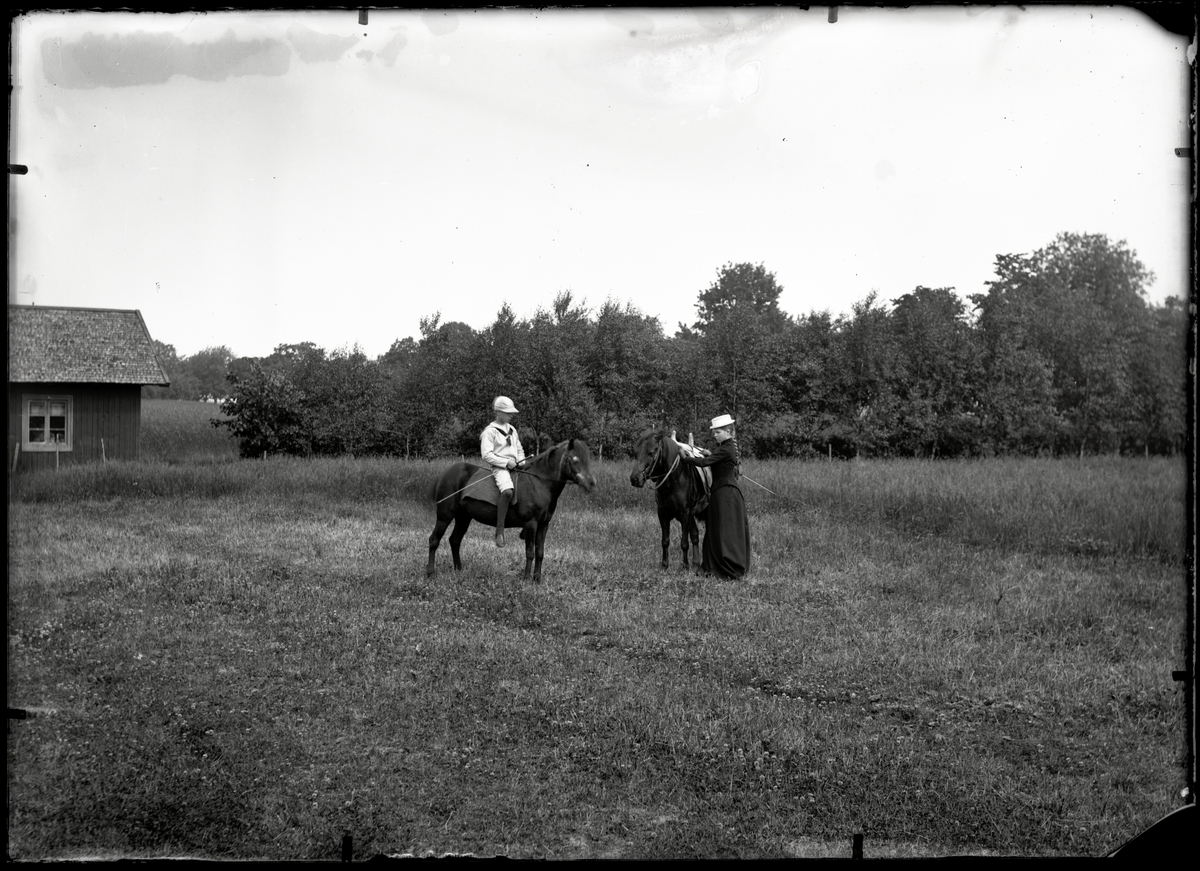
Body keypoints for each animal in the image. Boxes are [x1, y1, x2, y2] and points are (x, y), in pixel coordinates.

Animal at [427, 439, 596, 583]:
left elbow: (540, 553)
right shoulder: (531, 524)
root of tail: (446, 473)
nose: (591, 484)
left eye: (588, 459)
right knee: (434, 540)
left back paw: (459, 570)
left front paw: (537, 579)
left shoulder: (543, 525)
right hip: (444, 516)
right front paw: (527, 579)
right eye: (575, 459)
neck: (540, 482)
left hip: (463, 518)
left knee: (455, 540)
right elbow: (530, 552)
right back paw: (430, 572)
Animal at [629, 428, 710, 570]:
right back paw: (696, 562)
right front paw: (664, 565)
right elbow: (665, 541)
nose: (635, 479)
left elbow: (684, 542)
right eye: (636, 452)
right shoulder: (663, 514)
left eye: (651, 452)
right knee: (695, 535)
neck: (674, 479)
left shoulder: (685, 515)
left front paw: (685, 566)